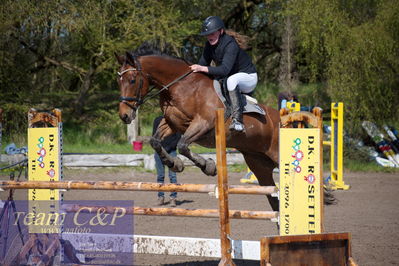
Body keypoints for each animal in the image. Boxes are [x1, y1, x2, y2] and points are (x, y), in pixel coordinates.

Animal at [114, 47, 280, 210]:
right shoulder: (172, 124)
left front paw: (208, 166)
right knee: (272, 195)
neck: (181, 86)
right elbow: (156, 142)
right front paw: (175, 164)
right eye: (118, 81)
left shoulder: (203, 123)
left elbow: (182, 145)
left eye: (132, 80)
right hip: (259, 165)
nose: (124, 115)